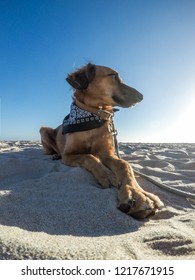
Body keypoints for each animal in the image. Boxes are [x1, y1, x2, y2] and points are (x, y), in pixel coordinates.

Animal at [40, 63, 164, 219]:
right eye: (114, 76)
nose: (141, 96)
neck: (93, 115)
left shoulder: (107, 153)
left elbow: (125, 164)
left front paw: (138, 194)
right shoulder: (68, 155)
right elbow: (89, 156)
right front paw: (107, 175)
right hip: (44, 130)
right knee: (51, 150)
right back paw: (55, 155)